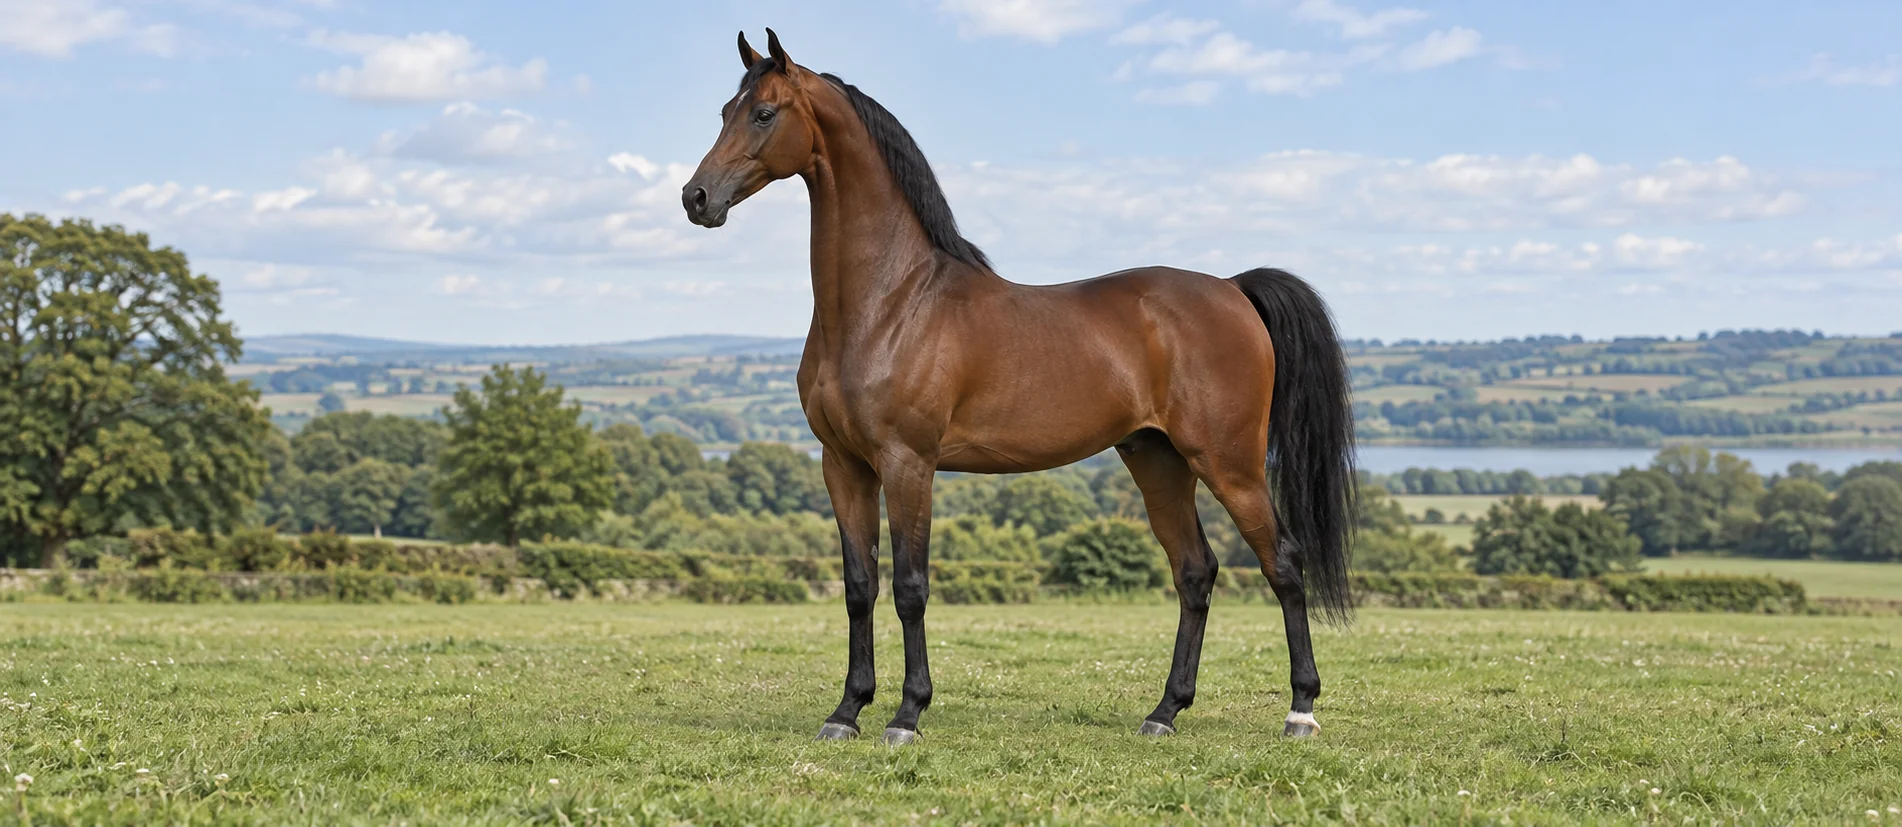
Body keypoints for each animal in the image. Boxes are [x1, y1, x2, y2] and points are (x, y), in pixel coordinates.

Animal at [682, 29, 1356, 746]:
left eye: (764, 113)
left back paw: (1300, 710)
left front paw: (907, 713)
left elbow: (911, 586)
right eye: (724, 110)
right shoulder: (843, 465)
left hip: (1229, 463)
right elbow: (859, 586)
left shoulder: (908, 463)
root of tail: (1232, 288)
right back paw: (1164, 711)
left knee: (1283, 563)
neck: (891, 302)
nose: (696, 198)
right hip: (1158, 460)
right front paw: (846, 711)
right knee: (1195, 571)